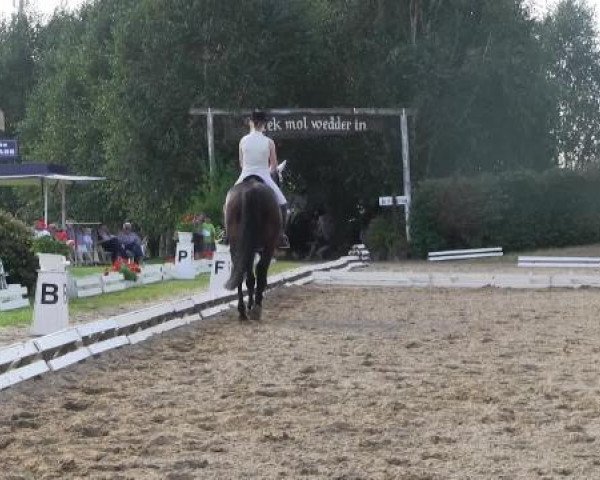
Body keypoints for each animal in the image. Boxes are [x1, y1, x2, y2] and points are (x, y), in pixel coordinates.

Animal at [225, 175, 282, 318]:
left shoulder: (249, 249)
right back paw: (256, 308)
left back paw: (242, 310)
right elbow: (260, 275)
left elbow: (249, 277)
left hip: (236, 245)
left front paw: (249, 305)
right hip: (268, 245)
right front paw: (254, 303)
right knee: (260, 270)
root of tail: (249, 192)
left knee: (240, 271)